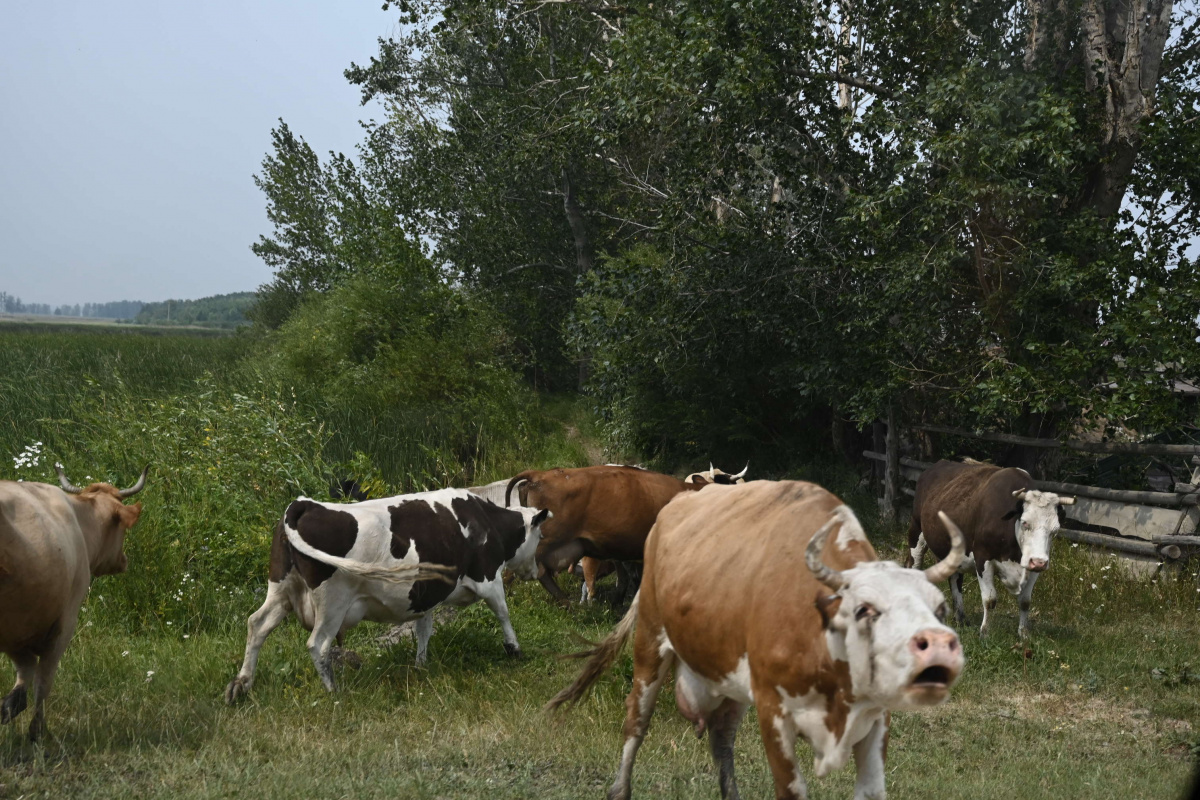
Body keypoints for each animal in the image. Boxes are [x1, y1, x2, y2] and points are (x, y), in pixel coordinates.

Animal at [0, 465, 148, 743]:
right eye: (122, 530)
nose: (124, 560)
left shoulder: (18, 630)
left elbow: (24, 676)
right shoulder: (64, 621)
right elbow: (42, 681)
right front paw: (36, 731)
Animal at [225, 489, 549, 700]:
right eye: (540, 536)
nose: (536, 571)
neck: (485, 521)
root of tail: (304, 505)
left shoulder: (425, 595)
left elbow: (423, 629)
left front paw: (421, 666)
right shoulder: (488, 577)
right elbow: (503, 613)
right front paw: (514, 649)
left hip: (281, 588)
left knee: (258, 624)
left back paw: (241, 684)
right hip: (332, 601)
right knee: (318, 644)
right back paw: (334, 692)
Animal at [547, 482, 964, 800]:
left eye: (939, 607)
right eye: (864, 609)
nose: (937, 643)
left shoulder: (876, 718)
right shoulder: (772, 713)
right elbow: (791, 789)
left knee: (721, 738)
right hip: (651, 639)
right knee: (636, 720)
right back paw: (620, 788)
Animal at [907, 462, 1080, 638]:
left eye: (1055, 529)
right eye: (1025, 522)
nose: (1038, 562)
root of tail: (937, 465)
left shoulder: (1034, 567)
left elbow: (1025, 601)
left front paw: (1023, 633)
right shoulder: (983, 559)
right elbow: (989, 600)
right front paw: (985, 633)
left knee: (955, 579)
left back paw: (960, 618)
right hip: (916, 531)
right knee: (913, 565)